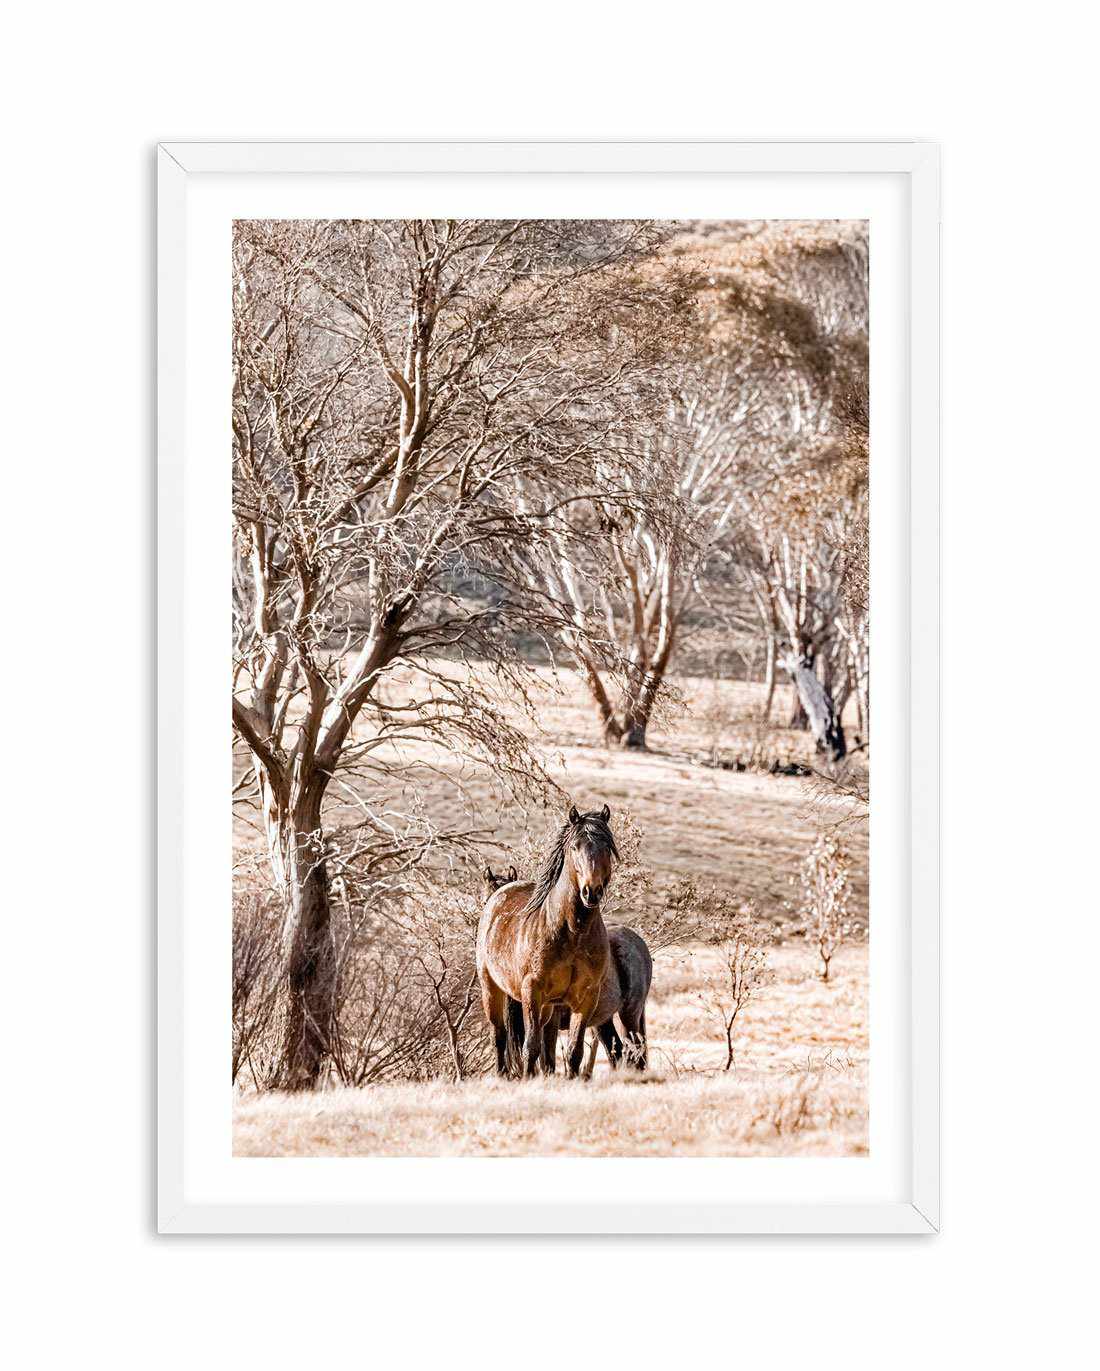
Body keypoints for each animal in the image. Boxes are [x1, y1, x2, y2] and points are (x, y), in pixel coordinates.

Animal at [477, 800, 622, 1080]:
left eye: (607, 848)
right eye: (575, 846)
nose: (591, 892)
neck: (572, 931)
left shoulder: (586, 997)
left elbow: (573, 1051)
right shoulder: (532, 991)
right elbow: (531, 1046)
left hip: (548, 1008)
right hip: (492, 989)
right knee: (499, 1035)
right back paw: (503, 1075)